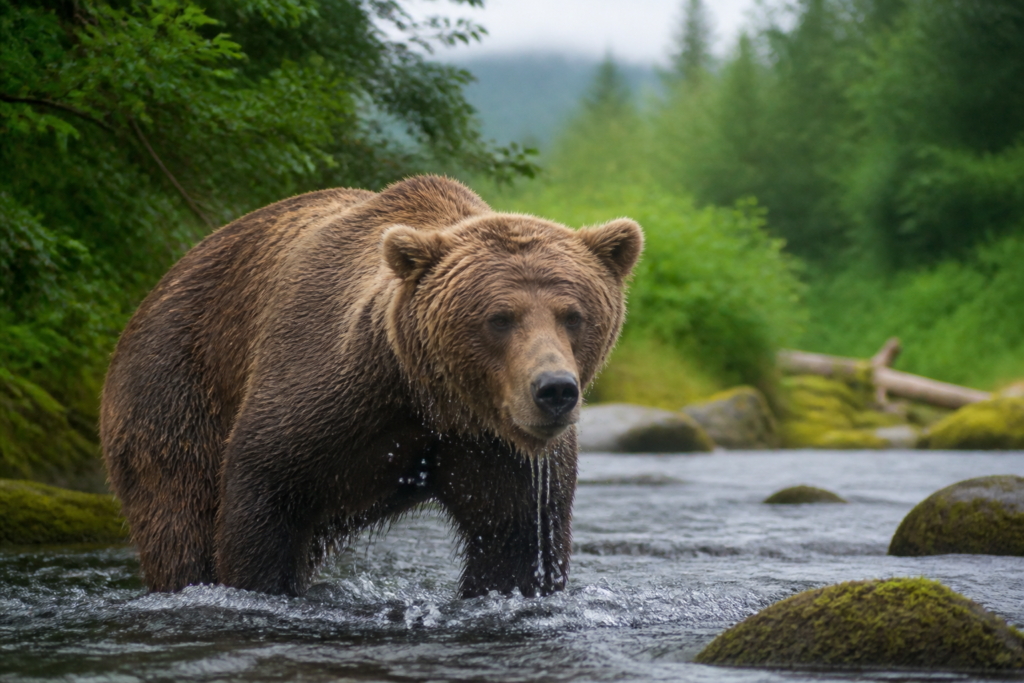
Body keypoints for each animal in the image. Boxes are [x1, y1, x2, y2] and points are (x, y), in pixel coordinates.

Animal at [100, 175, 643, 598]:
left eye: (573, 315)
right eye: (499, 318)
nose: (554, 390)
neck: (427, 400)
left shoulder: (497, 447)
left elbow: (514, 540)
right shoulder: (317, 391)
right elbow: (262, 502)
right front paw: (258, 583)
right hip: (174, 387)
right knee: (178, 516)